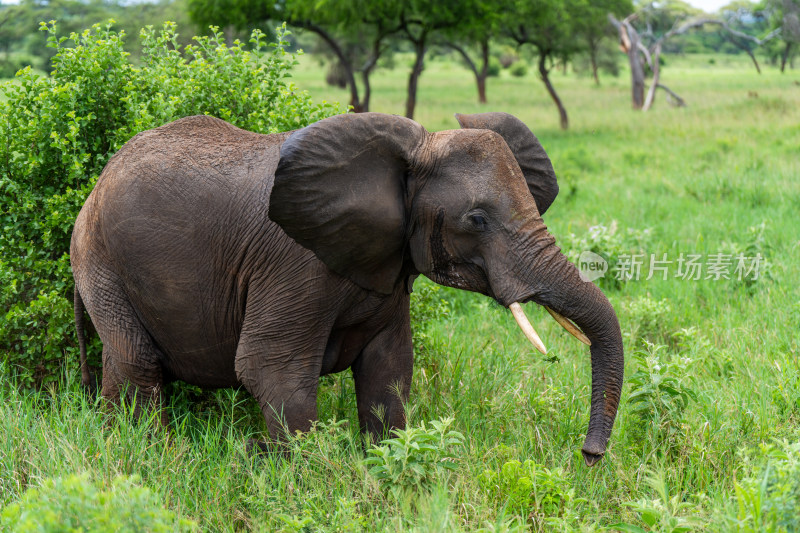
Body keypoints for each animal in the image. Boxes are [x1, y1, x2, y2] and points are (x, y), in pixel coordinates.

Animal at [72, 111, 624, 466]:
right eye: (477, 219)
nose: (589, 455)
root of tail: (96, 186)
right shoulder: (294, 263)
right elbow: (270, 368)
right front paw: (303, 482)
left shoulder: (389, 265)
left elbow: (389, 368)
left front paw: (385, 467)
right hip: (100, 262)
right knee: (140, 364)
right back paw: (149, 458)